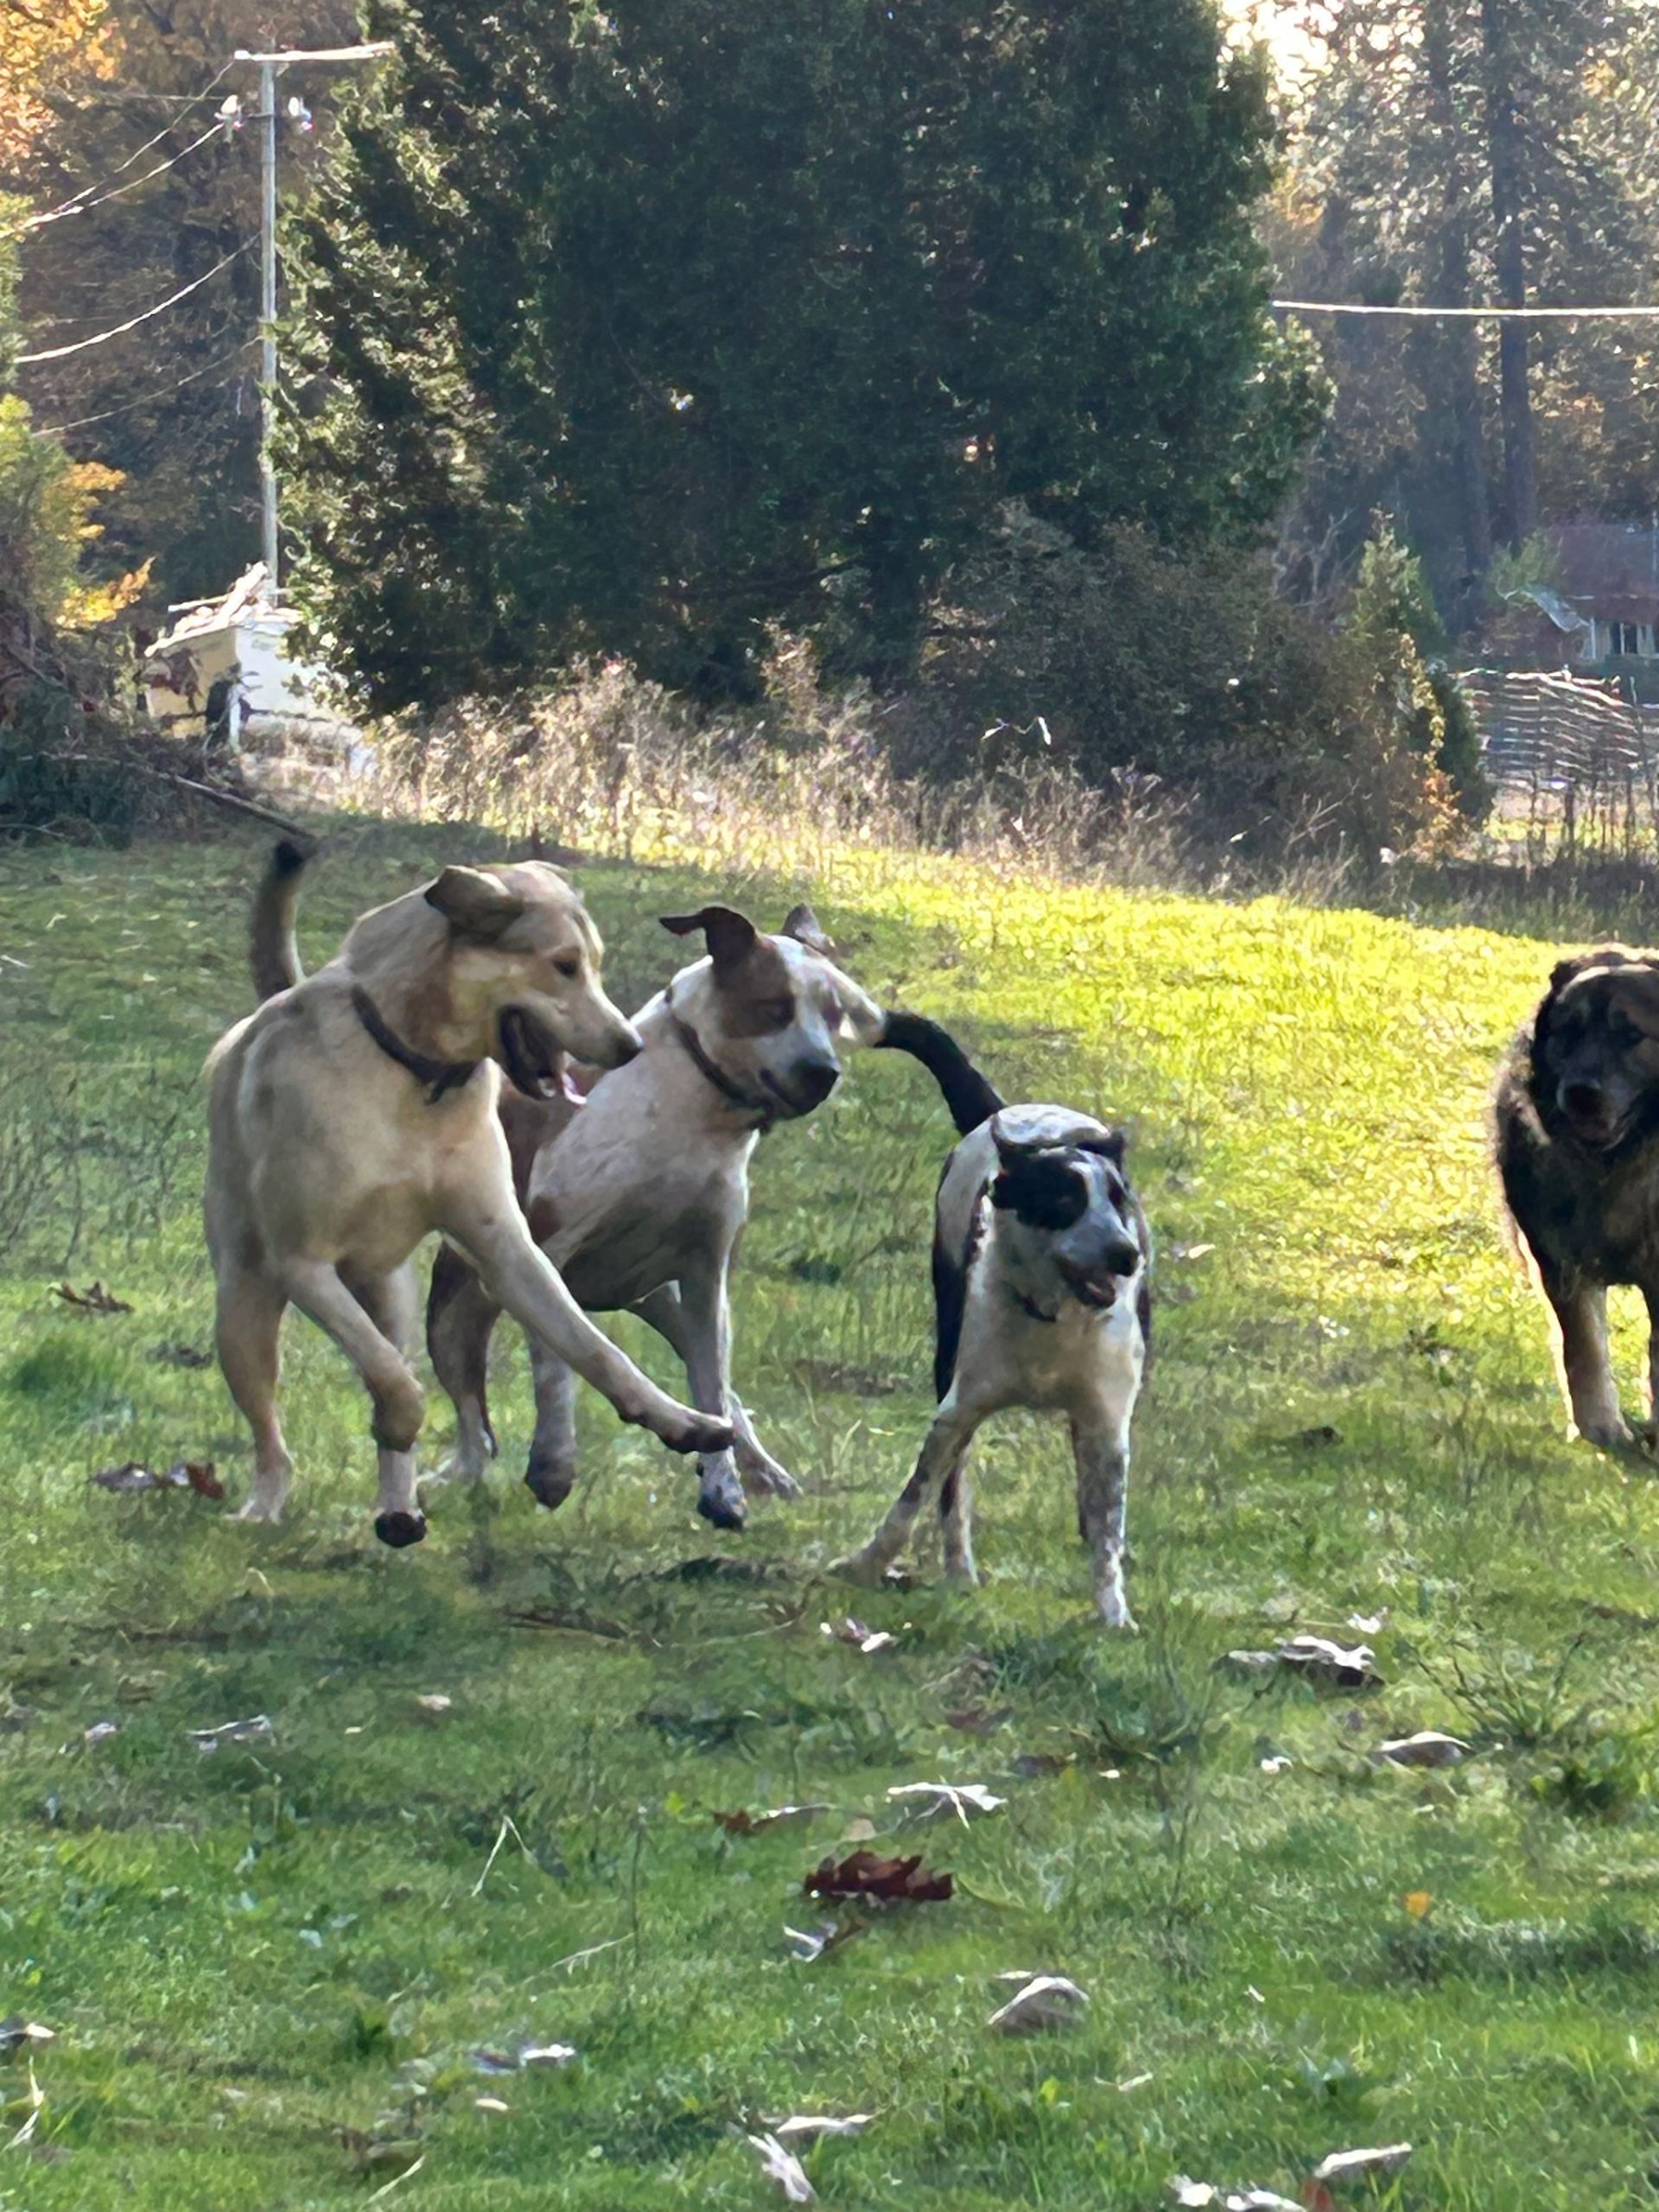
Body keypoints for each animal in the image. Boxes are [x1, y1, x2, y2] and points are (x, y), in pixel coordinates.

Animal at [206, 842, 732, 1546]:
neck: (415, 1078)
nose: (630, 1046)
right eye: (563, 966)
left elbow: (594, 1347)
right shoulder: (303, 1263)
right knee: (275, 1429)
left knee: (391, 1354)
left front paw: (680, 1421)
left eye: (593, 965)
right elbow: (395, 1386)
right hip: (244, 1308)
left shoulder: (508, 1251)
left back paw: (397, 1506)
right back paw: (266, 1505)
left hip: (391, 1295)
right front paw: (403, 1421)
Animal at [424, 898, 919, 1530]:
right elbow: (558, 1363)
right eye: (773, 1007)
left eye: (835, 1016)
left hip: (666, 1302)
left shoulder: (706, 1277)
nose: (823, 1071)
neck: (691, 1114)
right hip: (455, 1314)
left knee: (725, 1395)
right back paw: (454, 1475)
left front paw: (723, 1488)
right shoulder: (547, 1252)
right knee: (473, 1428)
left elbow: (711, 1386)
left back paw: (759, 1467)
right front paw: (555, 1462)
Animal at [837, 1016, 1151, 1628]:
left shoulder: (1107, 1417)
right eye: (1063, 1199)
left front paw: (1112, 1612)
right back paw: (960, 1571)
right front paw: (868, 1563)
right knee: (952, 1490)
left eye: (1119, 1199)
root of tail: (1005, 1113)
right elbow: (921, 1494)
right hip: (946, 1349)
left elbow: (1108, 1525)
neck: (1054, 1317)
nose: (1127, 1256)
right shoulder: (958, 1408)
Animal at [1495, 944, 1659, 1448]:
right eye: (1569, 1031)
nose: (1582, 1093)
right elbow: (1583, 1348)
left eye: (1631, 1035)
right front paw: (1600, 1428)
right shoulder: (1561, 1265)